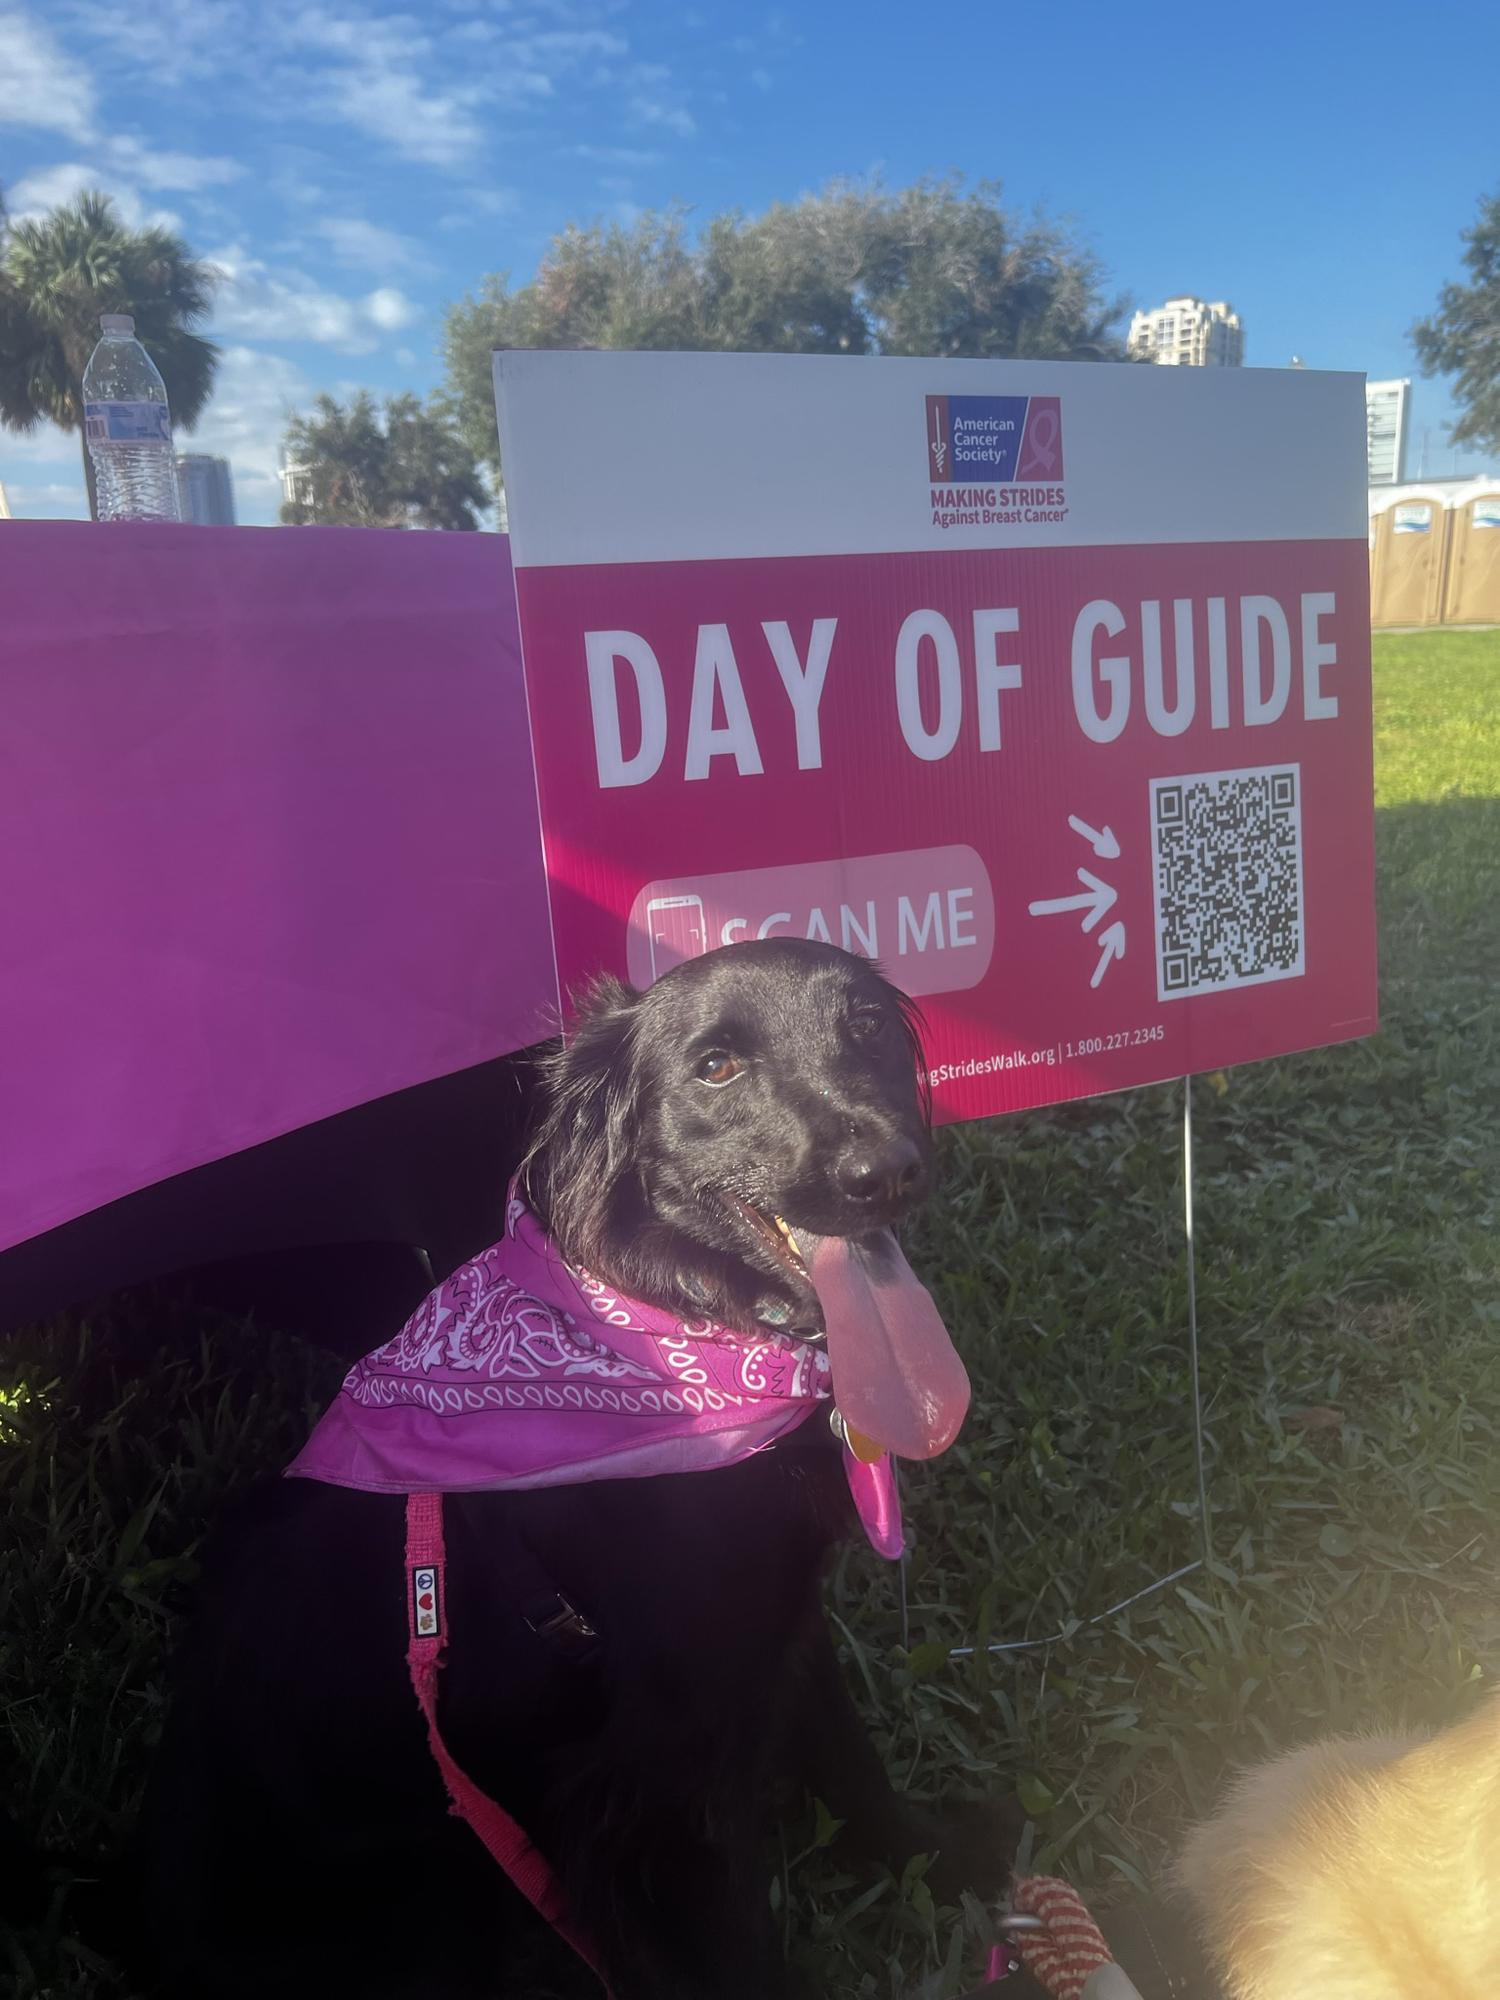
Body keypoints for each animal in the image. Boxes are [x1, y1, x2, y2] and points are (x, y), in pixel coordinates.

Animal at [141, 940, 1016, 2000]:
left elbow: (848, 1757)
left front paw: (935, 1857)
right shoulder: (662, 1779)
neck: (674, 1329)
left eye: (871, 1026)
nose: (882, 1173)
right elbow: (738, 1942)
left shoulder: (776, 1622)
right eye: (716, 1067)